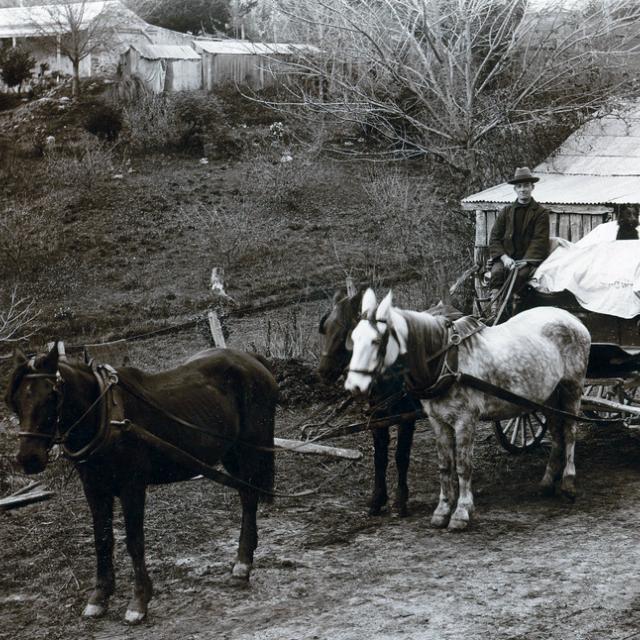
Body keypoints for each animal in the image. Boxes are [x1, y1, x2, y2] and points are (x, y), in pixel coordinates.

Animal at [5, 344, 278, 624]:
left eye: (52, 396)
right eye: (15, 401)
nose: (28, 458)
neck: (104, 415)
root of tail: (250, 359)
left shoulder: (132, 487)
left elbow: (134, 541)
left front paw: (139, 601)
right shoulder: (94, 489)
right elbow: (102, 540)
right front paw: (99, 597)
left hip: (249, 448)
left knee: (249, 499)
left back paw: (243, 563)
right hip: (231, 453)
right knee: (246, 493)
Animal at [318, 288, 460, 516]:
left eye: (343, 334)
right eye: (325, 329)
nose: (323, 372)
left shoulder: (406, 417)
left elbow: (401, 455)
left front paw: (400, 499)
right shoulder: (377, 417)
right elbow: (380, 457)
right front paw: (377, 498)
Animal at [344, 290, 592, 528]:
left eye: (376, 341)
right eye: (353, 339)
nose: (354, 386)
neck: (446, 363)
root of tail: (571, 317)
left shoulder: (465, 420)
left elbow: (463, 466)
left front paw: (462, 512)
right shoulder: (437, 420)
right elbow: (445, 465)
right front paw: (442, 510)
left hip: (572, 387)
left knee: (570, 431)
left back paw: (568, 481)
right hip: (548, 395)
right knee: (557, 433)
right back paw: (548, 481)